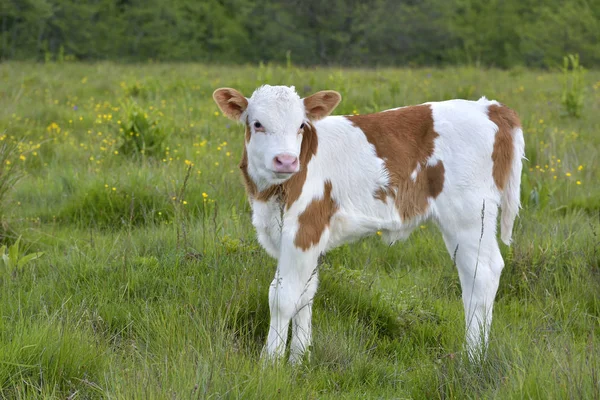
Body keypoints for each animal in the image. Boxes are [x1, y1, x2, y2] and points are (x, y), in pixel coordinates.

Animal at [213, 86, 524, 364]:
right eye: (257, 123)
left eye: (301, 125)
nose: (286, 160)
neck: (268, 194)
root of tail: (488, 107)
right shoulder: (296, 236)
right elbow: (305, 293)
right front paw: (299, 360)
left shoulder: (304, 228)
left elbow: (282, 297)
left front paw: (271, 364)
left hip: (469, 214)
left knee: (482, 274)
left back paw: (473, 357)